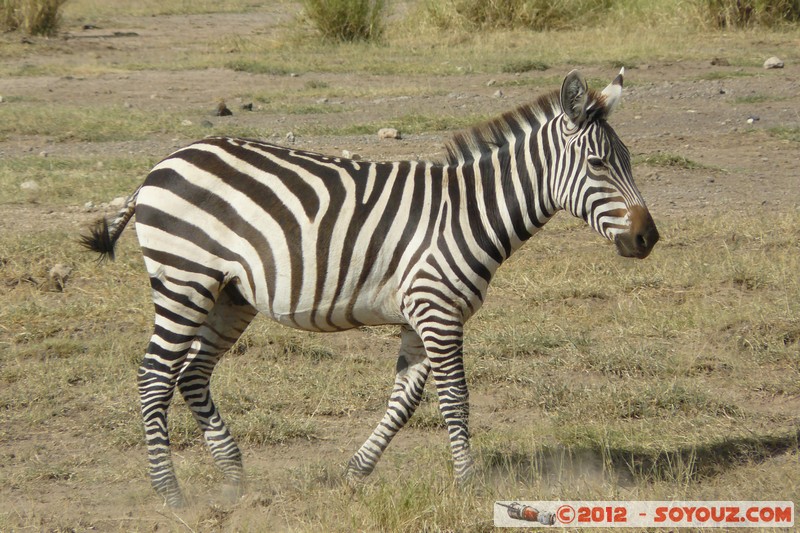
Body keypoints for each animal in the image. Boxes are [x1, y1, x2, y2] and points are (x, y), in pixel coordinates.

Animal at [83, 68, 656, 504]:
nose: (647, 237)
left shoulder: (420, 314)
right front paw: (468, 487)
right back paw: (169, 492)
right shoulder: (437, 309)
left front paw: (355, 472)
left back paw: (233, 477)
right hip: (185, 279)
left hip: (228, 294)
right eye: (599, 163)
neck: (468, 213)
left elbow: (404, 400)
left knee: (192, 374)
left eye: (629, 159)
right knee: (155, 376)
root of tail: (161, 165)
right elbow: (455, 398)